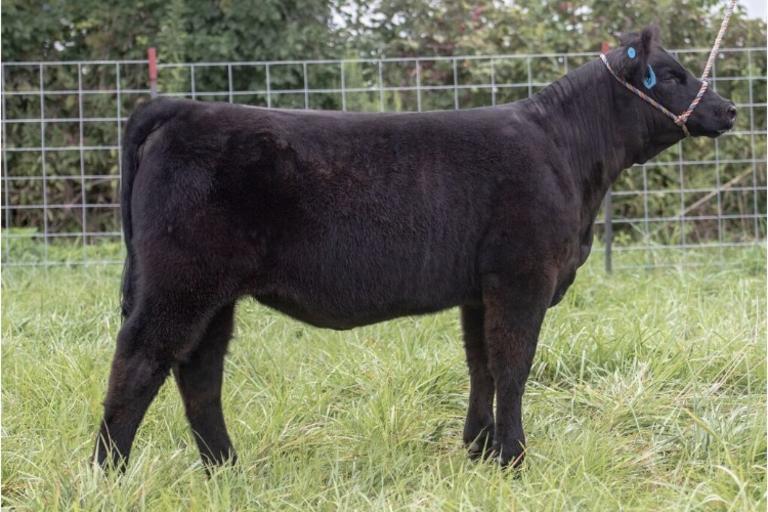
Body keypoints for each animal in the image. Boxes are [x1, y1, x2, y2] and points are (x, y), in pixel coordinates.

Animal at [94, 26, 736, 471]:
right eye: (671, 74)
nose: (728, 108)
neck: (566, 154)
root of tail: (181, 107)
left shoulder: (480, 288)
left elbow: (482, 365)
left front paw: (478, 452)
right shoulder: (523, 276)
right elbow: (514, 366)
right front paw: (514, 458)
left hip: (214, 293)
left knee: (199, 371)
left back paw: (226, 470)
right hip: (180, 280)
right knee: (140, 361)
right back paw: (110, 474)